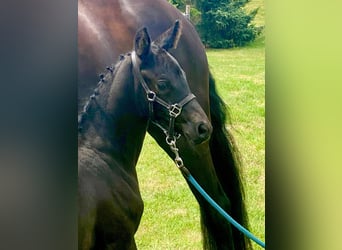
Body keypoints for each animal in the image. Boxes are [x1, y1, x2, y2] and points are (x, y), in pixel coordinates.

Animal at [79, 0, 252, 249]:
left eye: (183, 74)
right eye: (162, 83)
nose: (203, 127)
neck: (97, 152)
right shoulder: (121, 238)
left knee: (218, 204)